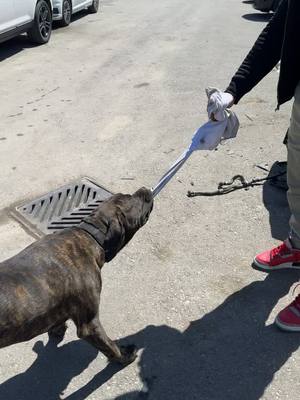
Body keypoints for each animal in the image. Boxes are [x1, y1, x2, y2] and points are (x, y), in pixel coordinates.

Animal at [0, 188, 152, 366]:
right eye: (130, 197)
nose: (145, 189)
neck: (90, 236)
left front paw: (57, 328)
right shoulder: (89, 325)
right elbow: (110, 347)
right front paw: (124, 356)